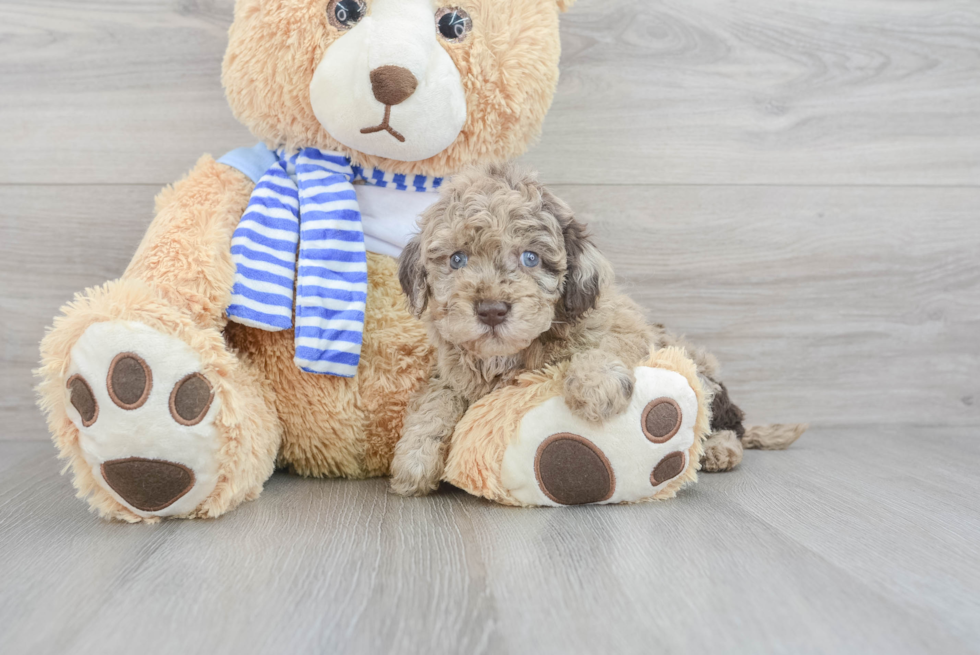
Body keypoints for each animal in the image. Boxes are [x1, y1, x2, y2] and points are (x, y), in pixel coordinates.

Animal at [390, 164, 756, 498]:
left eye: (530, 258)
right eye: (457, 260)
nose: (491, 310)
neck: (508, 356)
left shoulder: (625, 327)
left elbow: (604, 344)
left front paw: (595, 385)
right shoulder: (449, 373)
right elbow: (435, 401)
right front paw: (414, 460)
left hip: (701, 371)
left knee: (727, 420)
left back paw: (720, 450)